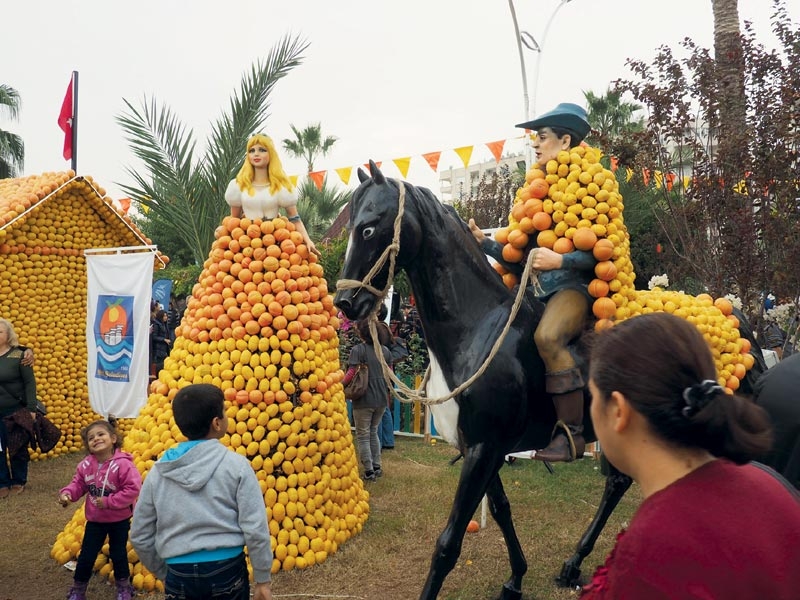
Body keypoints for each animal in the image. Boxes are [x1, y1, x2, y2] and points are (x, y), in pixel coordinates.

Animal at [332, 162, 592, 596]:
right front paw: (516, 577)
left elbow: (448, 543)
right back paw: (572, 566)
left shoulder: (484, 449)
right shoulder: (480, 447)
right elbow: (502, 510)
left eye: (368, 229)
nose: (345, 302)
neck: (478, 329)